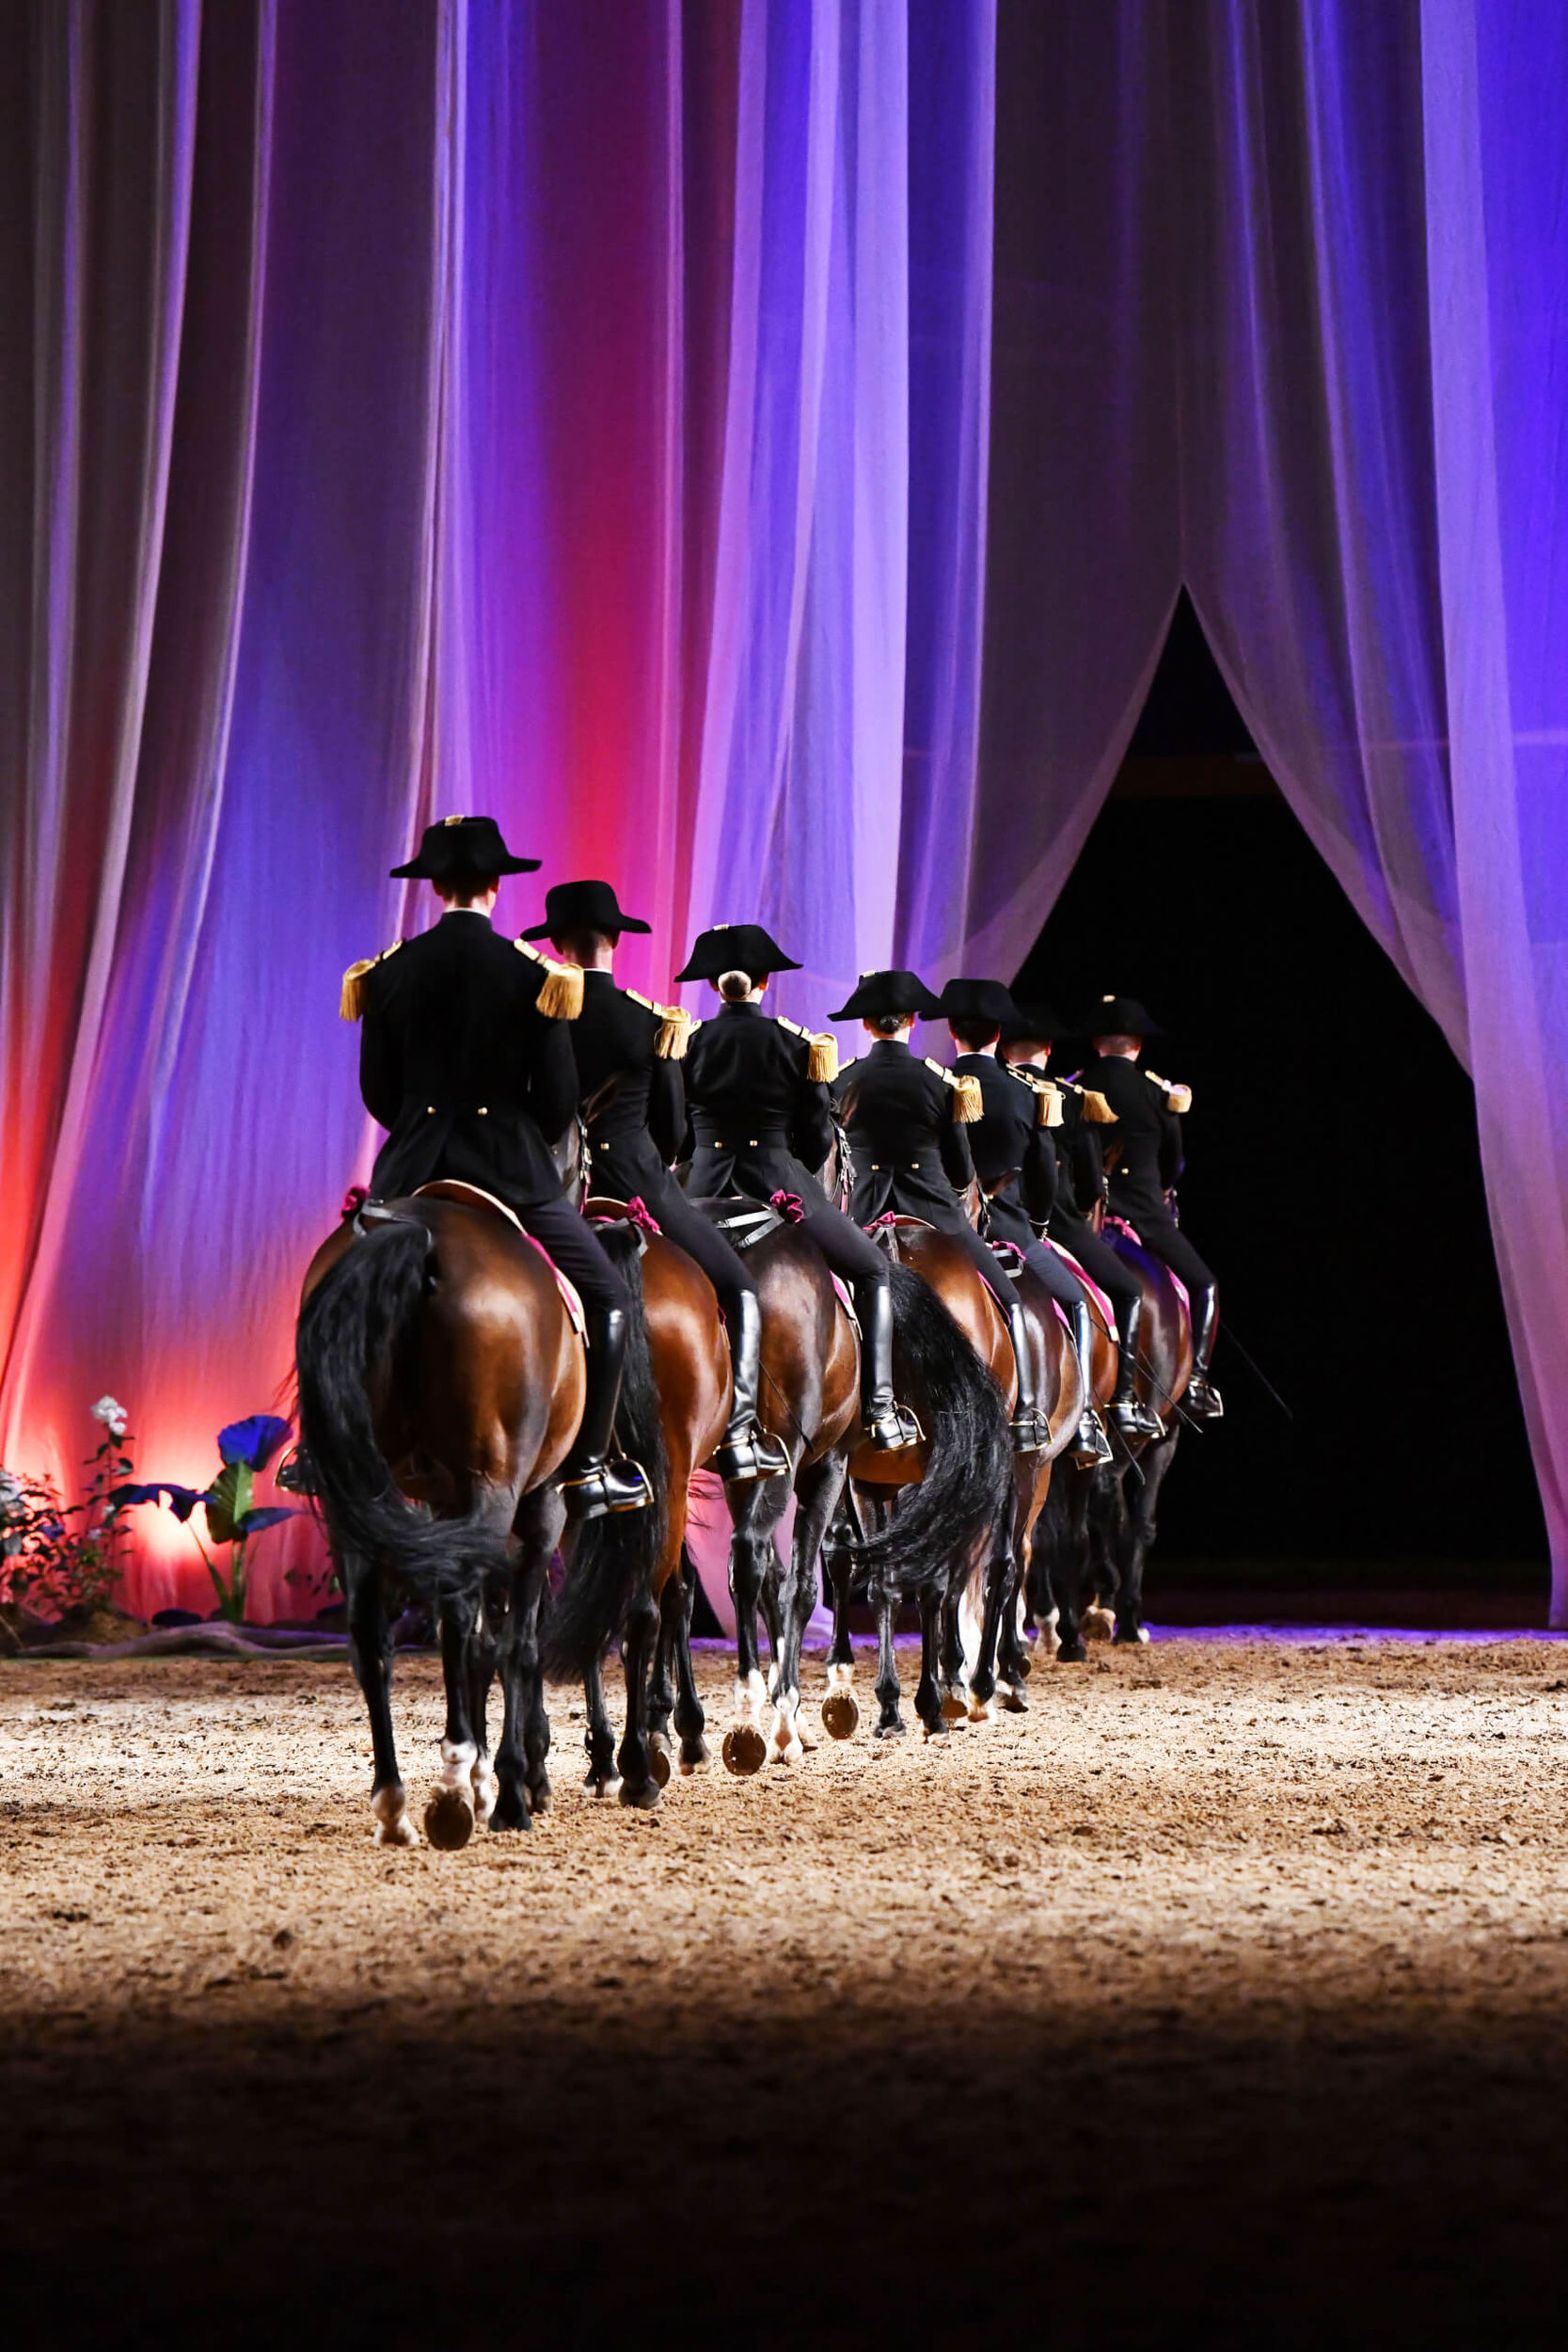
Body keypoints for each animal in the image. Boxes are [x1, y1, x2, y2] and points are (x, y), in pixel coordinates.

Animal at [297, 1185, 585, 1844]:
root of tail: (416, 1232)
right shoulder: (540, 1512)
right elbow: (515, 1645)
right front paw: (511, 1786)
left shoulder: (442, 1505)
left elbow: (483, 1644)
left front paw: (496, 1779)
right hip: (494, 1490)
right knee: (464, 1621)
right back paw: (458, 1785)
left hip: (358, 1500)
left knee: (370, 1636)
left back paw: (394, 1802)